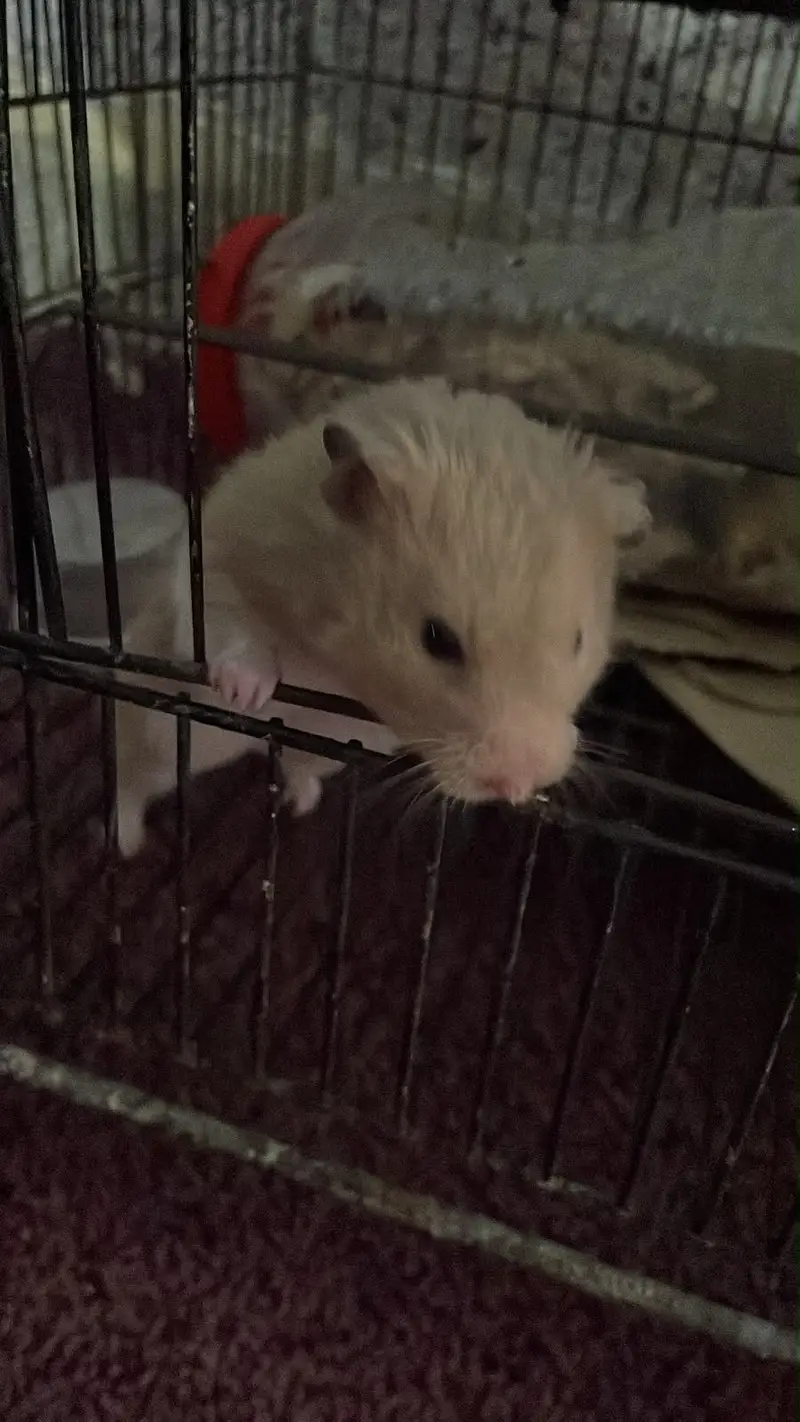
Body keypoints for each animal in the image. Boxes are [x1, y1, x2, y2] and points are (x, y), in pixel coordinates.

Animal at [114, 377, 649, 857]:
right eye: (436, 639)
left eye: (578, 641)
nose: (516, 785)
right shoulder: (223, 554)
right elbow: (232, 621)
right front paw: (243, 693)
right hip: (163, 731)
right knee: (132, 776)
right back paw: (126, 843)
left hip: (327, 745)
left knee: (299, 765)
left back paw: (300, 803)